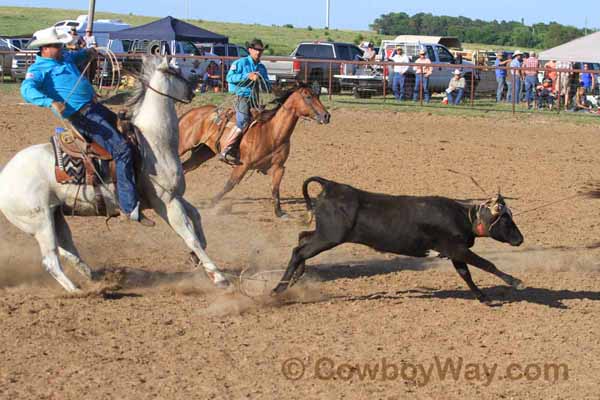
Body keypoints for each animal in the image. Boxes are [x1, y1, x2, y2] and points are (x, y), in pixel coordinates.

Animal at [0, 56, 230, 292]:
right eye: (178, 69)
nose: (196, 84)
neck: (153, 141)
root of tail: (5, 177)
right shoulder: (165, 201)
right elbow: (189, 236)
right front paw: (218, 276)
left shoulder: (174, 196)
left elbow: (196, 216)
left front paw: (197, 257)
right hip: (40, 222)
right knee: (51, 261)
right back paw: (80, 291)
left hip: (55, 215)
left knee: (66, 249)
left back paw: (94, 276)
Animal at [178, 82, 330, 217]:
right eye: (308, 97)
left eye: (318, 96)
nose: (326, 116)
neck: (272, 133)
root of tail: (190, 112)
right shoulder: (243, 164)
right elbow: (230, 185)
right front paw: (211, 204)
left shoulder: (278, 167)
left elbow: (275, 189)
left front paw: (279, 213)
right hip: (182, 146)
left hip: (202, 154)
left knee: (184, 167)